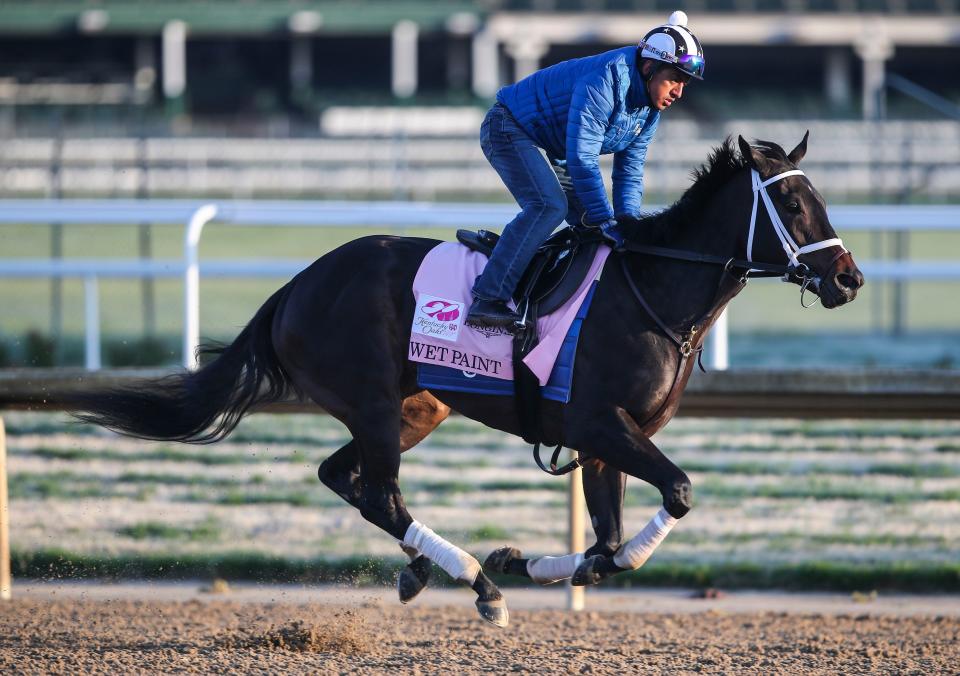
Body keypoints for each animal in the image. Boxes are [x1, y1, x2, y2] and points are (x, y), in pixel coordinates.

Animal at [69, 133, 864, 628]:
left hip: (415, 407)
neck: (654, 289)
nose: (849, 278)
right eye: (793, 204)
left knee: (344, 477)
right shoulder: (599, 424)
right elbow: (677, 494)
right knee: (380, 495)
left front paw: (524, 557)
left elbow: (607, 548)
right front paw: (506, 567)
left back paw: (427, 569)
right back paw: (477, 584)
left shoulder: (605, 440)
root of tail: (297, 284)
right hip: (373, 401)